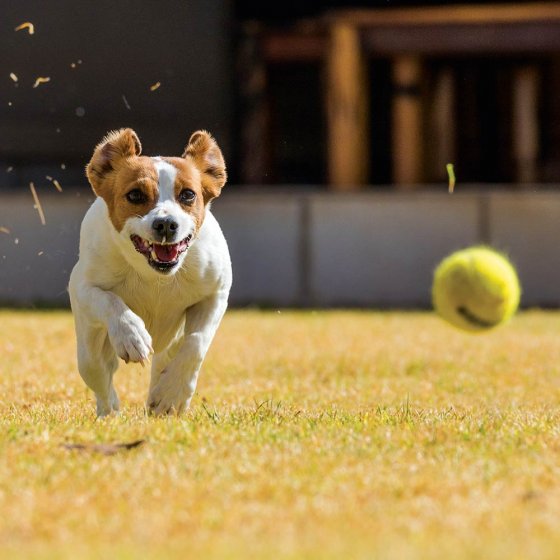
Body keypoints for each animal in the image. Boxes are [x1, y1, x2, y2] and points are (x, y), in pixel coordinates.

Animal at [69, 128, 232, 416]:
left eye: (188, 195)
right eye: (135, 195)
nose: (166, 224)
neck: (155, 276)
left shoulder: (216, 293)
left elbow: (196, 342)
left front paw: (171, 395)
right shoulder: (82, 286)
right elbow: (110, 300)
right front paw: (131, 335)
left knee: (169, 356)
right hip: (89, 344)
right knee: (96, 371)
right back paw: (110, 409)